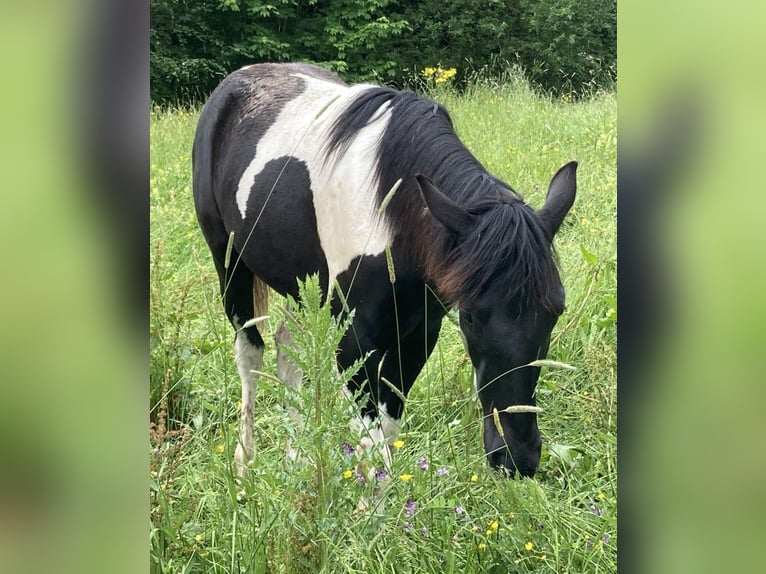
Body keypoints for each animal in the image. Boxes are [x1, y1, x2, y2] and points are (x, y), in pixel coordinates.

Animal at [192, 62, 576, 482]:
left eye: (556, 310)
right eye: (471, 318)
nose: (516, 459)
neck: (391, 213)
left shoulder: (418, 333)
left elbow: (387, 431)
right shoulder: (355, 342)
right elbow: (373, 445)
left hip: (302, 283)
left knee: (286, 347)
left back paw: (298, 459)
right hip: (230, 265)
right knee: (250, 354)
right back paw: (245, 463)